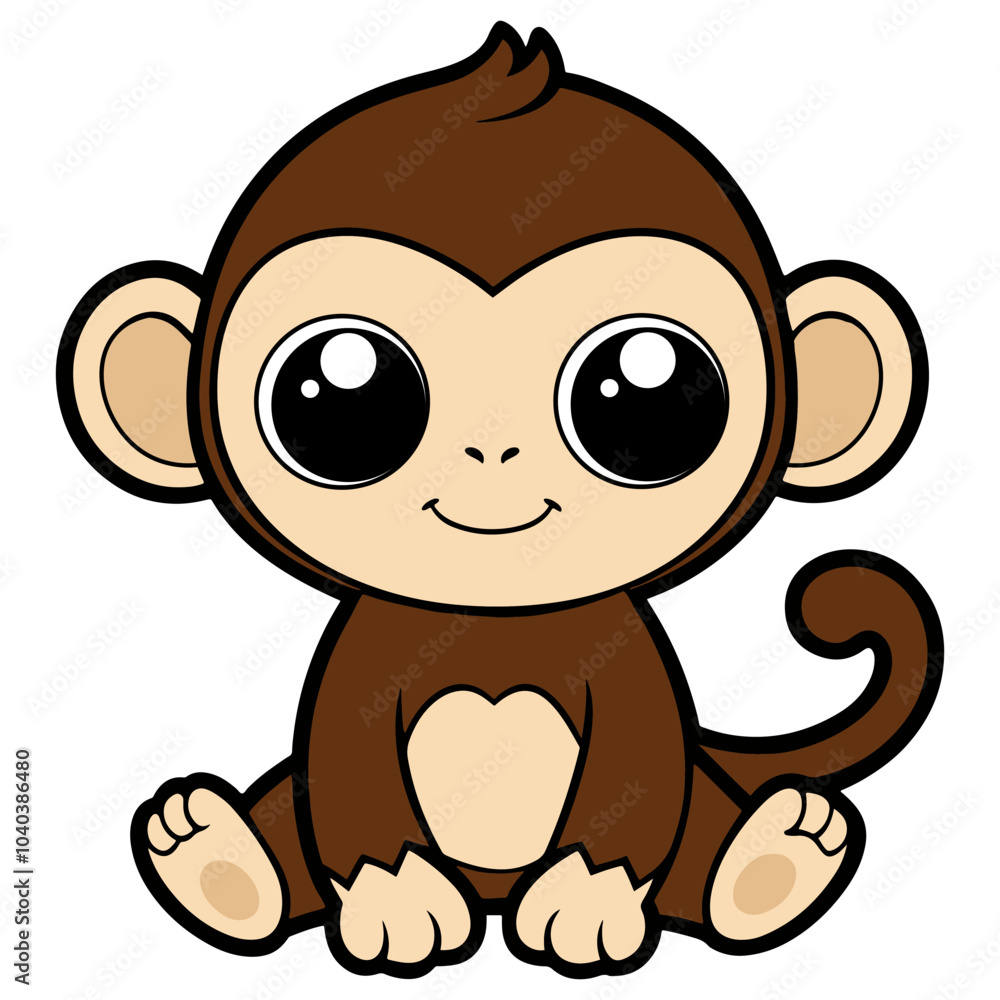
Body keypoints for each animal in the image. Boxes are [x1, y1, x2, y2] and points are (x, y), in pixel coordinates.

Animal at [57, 22, 941, 980]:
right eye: (337, 393)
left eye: (649, 392)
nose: (493, 449)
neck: (493, 623)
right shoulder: (359, 670)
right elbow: (348, 781)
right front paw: (396, 902)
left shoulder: (626, 673)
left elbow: (637, 780)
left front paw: (587, 902)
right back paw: (216, 861)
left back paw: (773, 860)